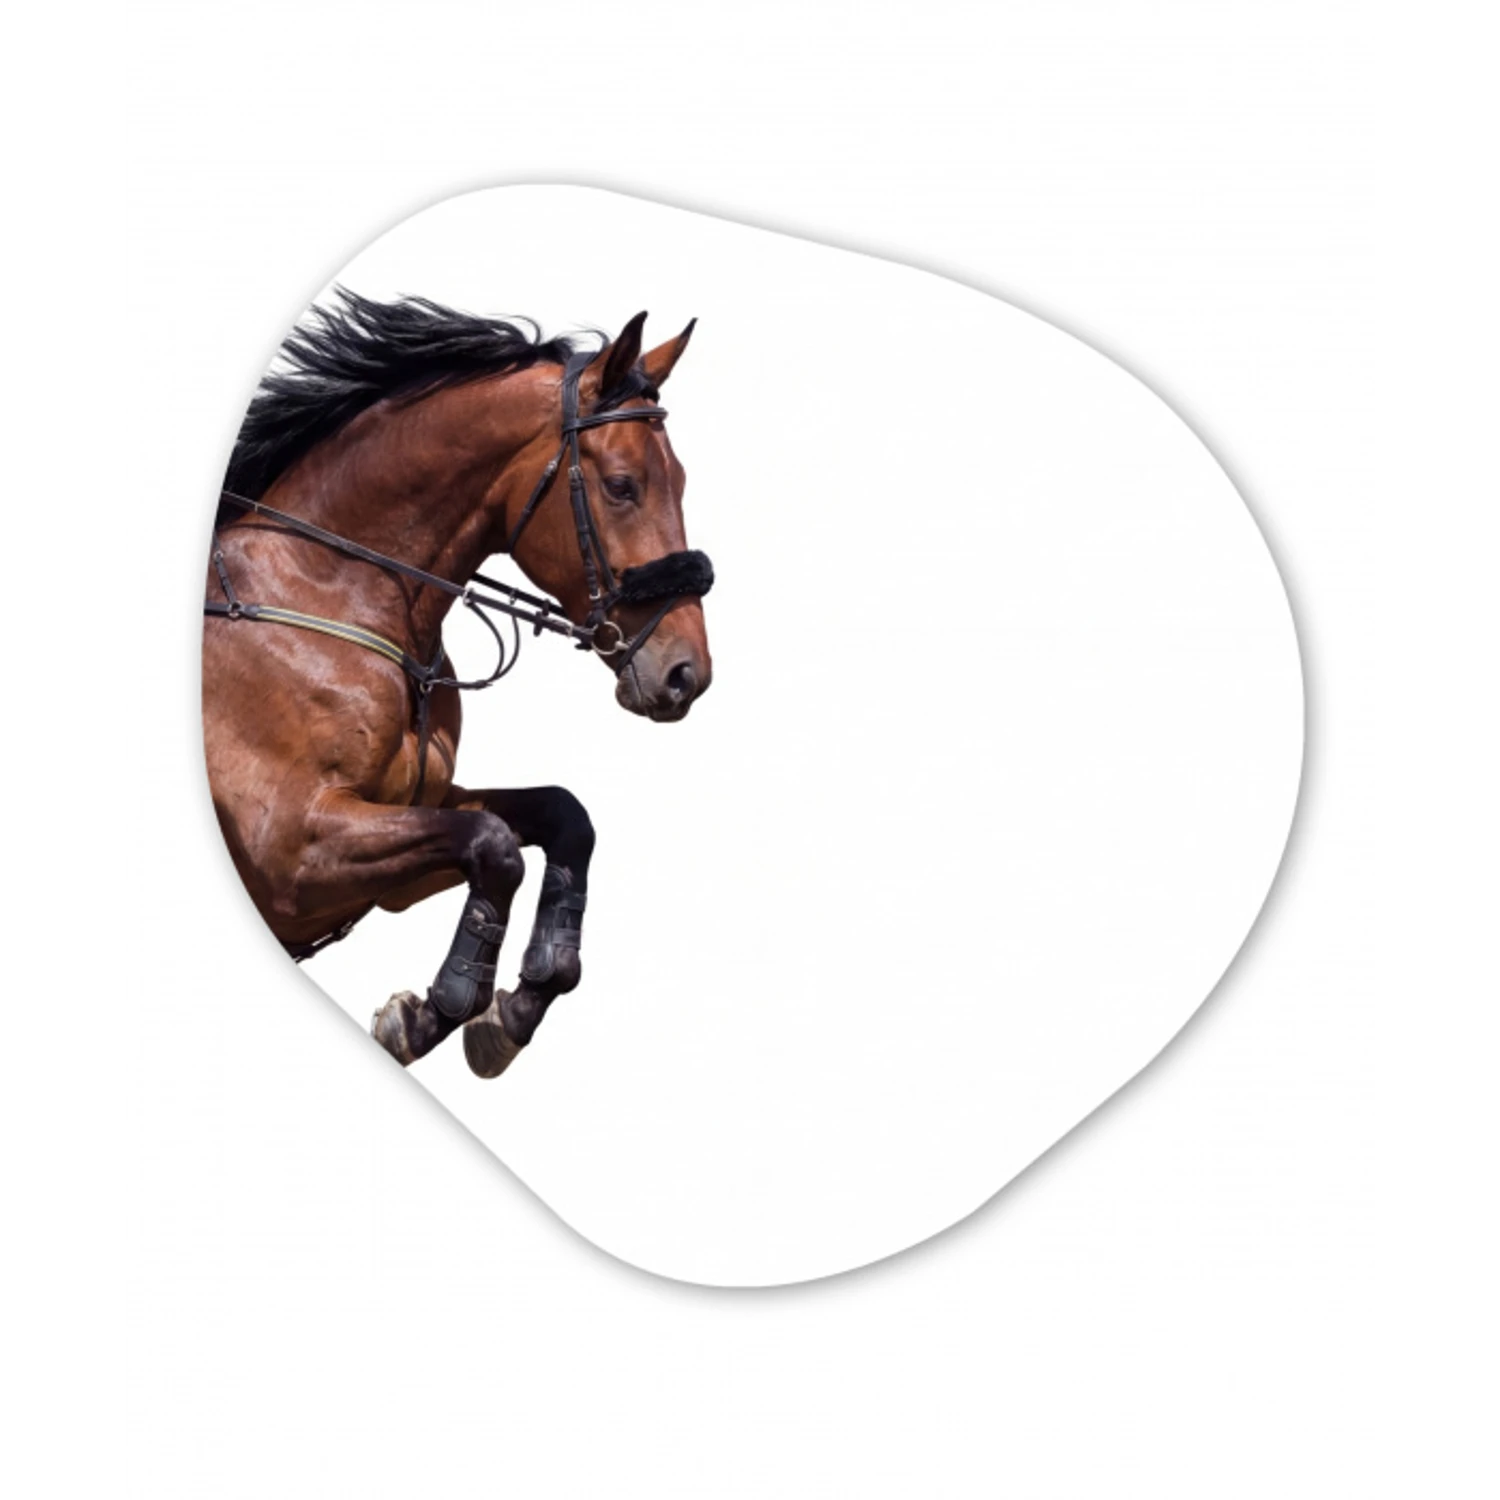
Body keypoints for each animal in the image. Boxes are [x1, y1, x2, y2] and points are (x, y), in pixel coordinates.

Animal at [202, 291, 713, 1078]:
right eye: (622, 486)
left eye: (681, 481)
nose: (688, 674)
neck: (332, 589)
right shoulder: (291, 852)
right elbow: (495, 845)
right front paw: (435, 1012)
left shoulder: (399, 849)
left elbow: (560, 816)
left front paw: (519, 1003)